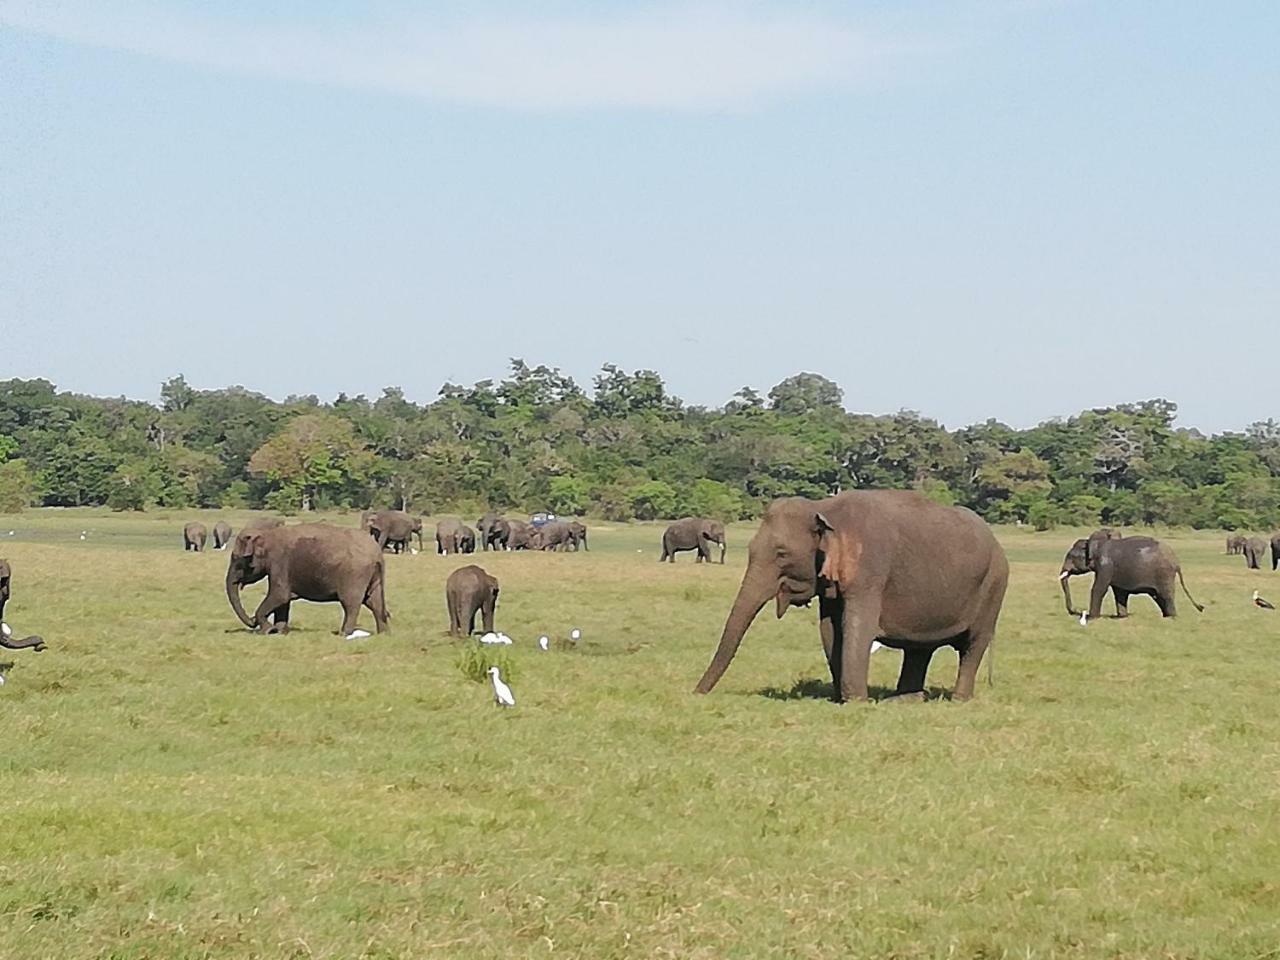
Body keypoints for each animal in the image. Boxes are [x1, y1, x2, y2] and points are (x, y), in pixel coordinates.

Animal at [227, 522, 389, 634]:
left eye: (236, 560)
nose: (252, 620)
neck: (267, 534)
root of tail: (377, 553)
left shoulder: (279, 563)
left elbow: (280, 595)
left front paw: (267, 630)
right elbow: (283, 601)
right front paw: (279, 631)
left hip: (355, 575)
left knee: (351, 603)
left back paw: (344, 633)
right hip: (374, 577)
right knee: (374, 602)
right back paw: (383, 634)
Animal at [691, 491, 1008, 701]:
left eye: (781, 554)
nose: (696, 693)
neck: (825, 507)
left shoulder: (870, 567)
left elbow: (857, 626)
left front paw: (856, 701)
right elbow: (830, 630)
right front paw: (840, 698)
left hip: (994, 586)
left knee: (974, 644)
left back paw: (958, 699)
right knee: (920, 649)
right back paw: (906, 700)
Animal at [1059, 537, 1198, 619]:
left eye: (1071, 556)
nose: (1075, 610)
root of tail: (1176, 561)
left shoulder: (1105, 565)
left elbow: (1099, 588)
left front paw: (1092, 618)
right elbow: (1119, 592)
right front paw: (1122, 617)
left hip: (1164, 574)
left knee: (1165, 595)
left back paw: (1172, 618)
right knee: (1158, 596)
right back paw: (1166, 616)